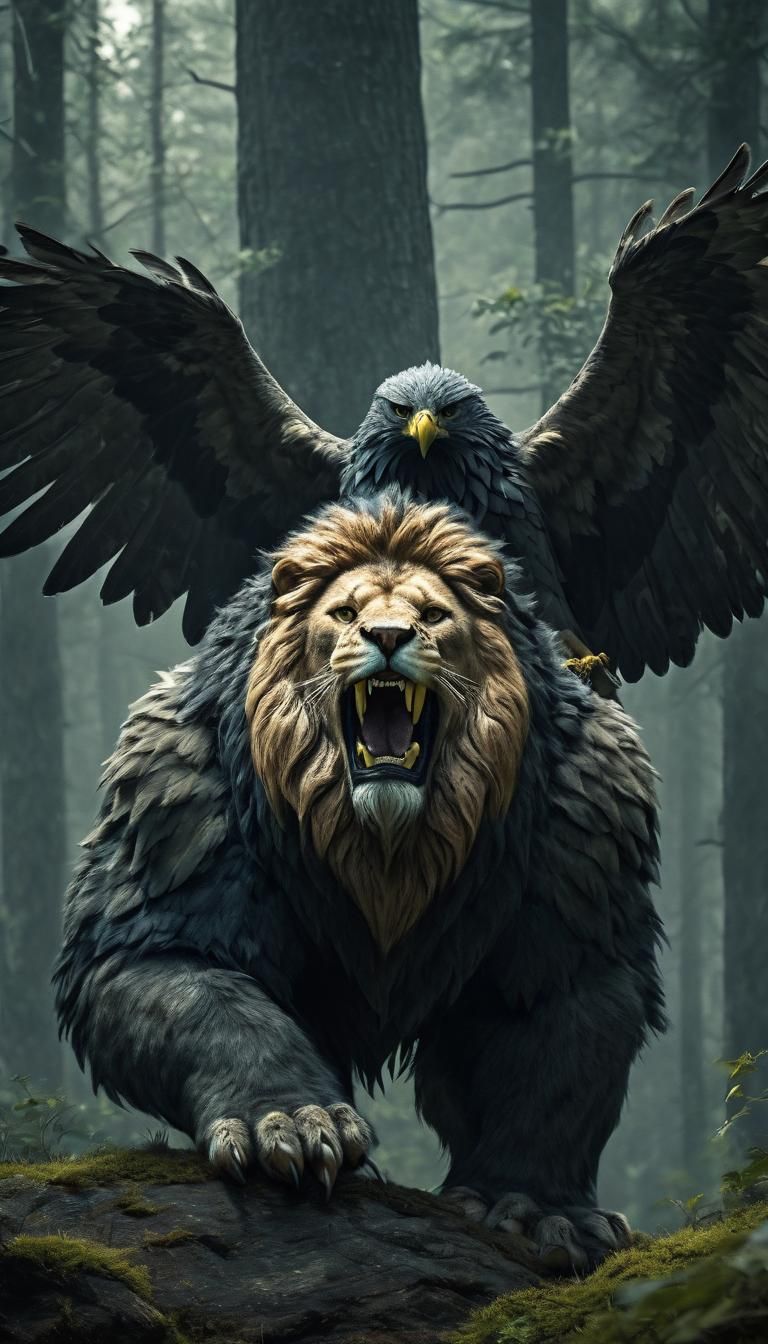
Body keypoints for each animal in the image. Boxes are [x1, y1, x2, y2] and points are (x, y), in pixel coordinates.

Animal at [55, 491, 664, 1270]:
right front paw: (289, 1122)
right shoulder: (175, 848)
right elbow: (211, 1006)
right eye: (344, 612)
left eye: (433, 614)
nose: (388, 634)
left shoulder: (577, 872)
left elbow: (553, 1063)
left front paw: (536, 1211)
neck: (387, 854)